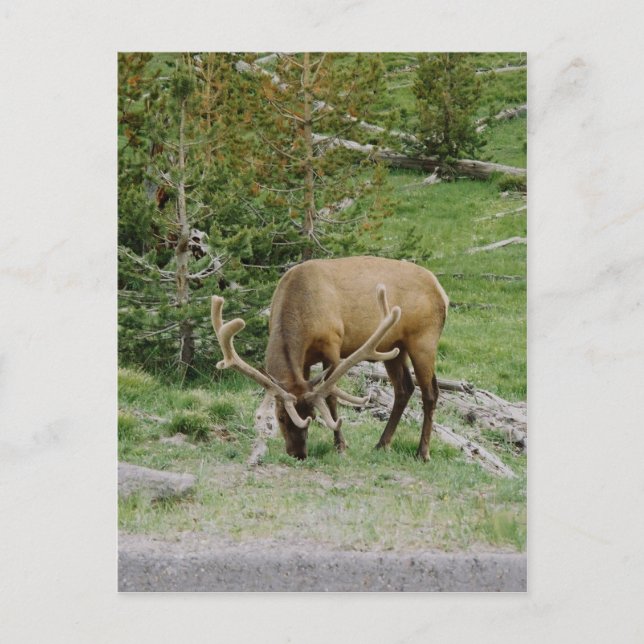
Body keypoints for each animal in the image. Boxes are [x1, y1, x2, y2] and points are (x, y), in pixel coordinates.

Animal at [210, 256, 448, 461]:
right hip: (394, 347)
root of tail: (442, 292)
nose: (299, 454)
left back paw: (422, 452)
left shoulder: (333, 345)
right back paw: (382, 444)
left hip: (424, 340)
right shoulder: (304, 362)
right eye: (280, 417)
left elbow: (331, 397)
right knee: (404, 388)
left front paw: (340, 445)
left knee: (429, 393)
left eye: (313, 416)